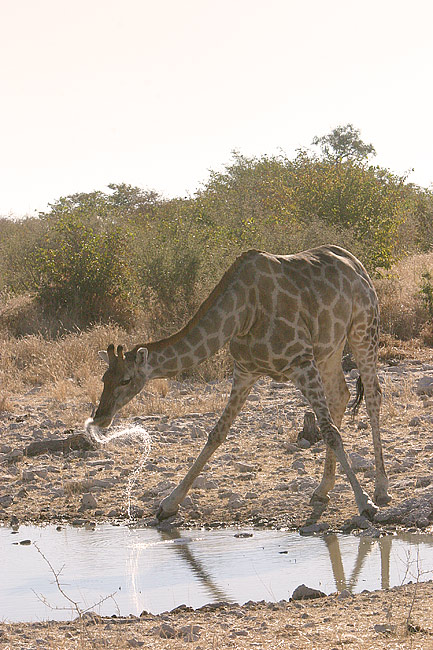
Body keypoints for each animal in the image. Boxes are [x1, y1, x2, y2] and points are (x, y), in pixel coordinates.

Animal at [87, 246, 388, 520]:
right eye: (104, 378)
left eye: (126, 380)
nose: (100, 417)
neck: (243, 315)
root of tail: (357, 264)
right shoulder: (245, 371)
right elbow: (217, 433)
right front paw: (168, 504)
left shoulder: (301, 362)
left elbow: (330, 431)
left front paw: (364, 504)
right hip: (330, 347)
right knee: (341, 394)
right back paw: (323, 488)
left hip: (364, 329)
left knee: (373, 396)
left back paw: (381, 489)